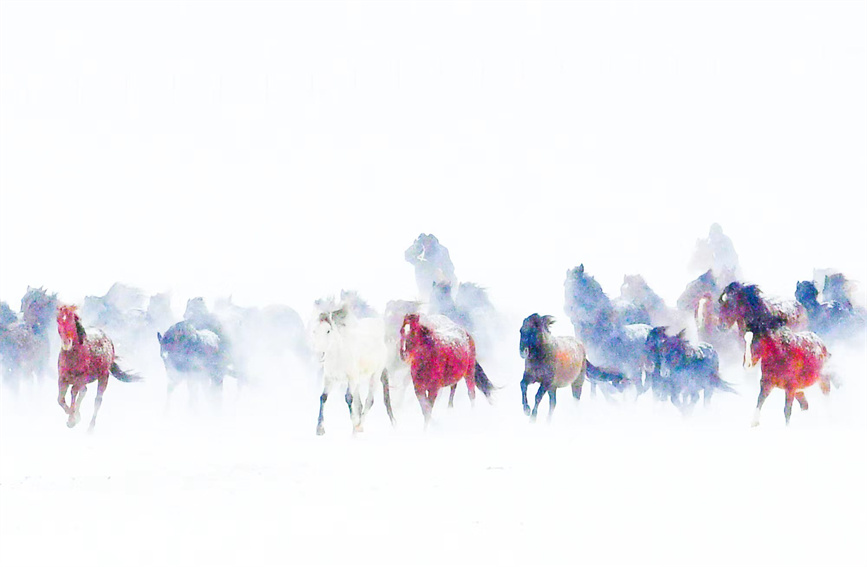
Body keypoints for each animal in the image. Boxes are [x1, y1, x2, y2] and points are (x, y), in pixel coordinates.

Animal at [310, 304, 392, 438]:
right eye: (314, 331)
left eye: (328, 331)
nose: (318, 351)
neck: (338, 356)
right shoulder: (329, 378)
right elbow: (323, 397)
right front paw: (320, 428)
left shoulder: (352, 379)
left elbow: (348, 398)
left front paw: (354, 427)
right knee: (360, 404)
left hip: (375, 375)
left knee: (369, 401)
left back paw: (359, 426)